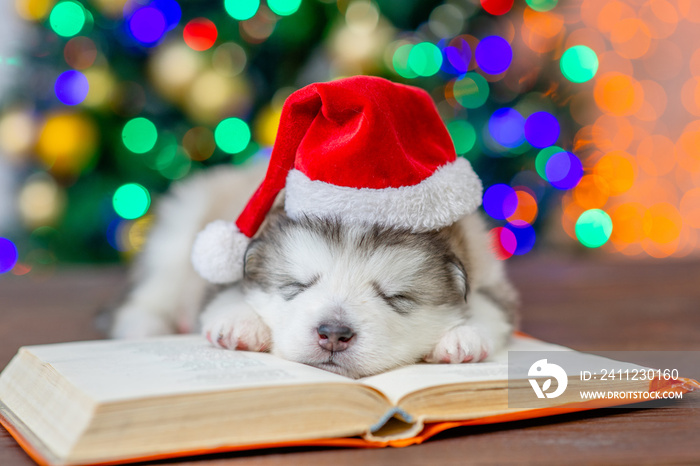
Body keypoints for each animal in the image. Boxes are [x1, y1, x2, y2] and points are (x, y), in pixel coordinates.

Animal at [110, 164, 520, 378]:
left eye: (396, 297)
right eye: (296, 284)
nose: (334, 334)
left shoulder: (487, 275)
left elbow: (489, 308)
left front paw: (463, 338)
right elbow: (226, 294)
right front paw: (239, 324)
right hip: (178, 232)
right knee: (155, 292)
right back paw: (143, 326)